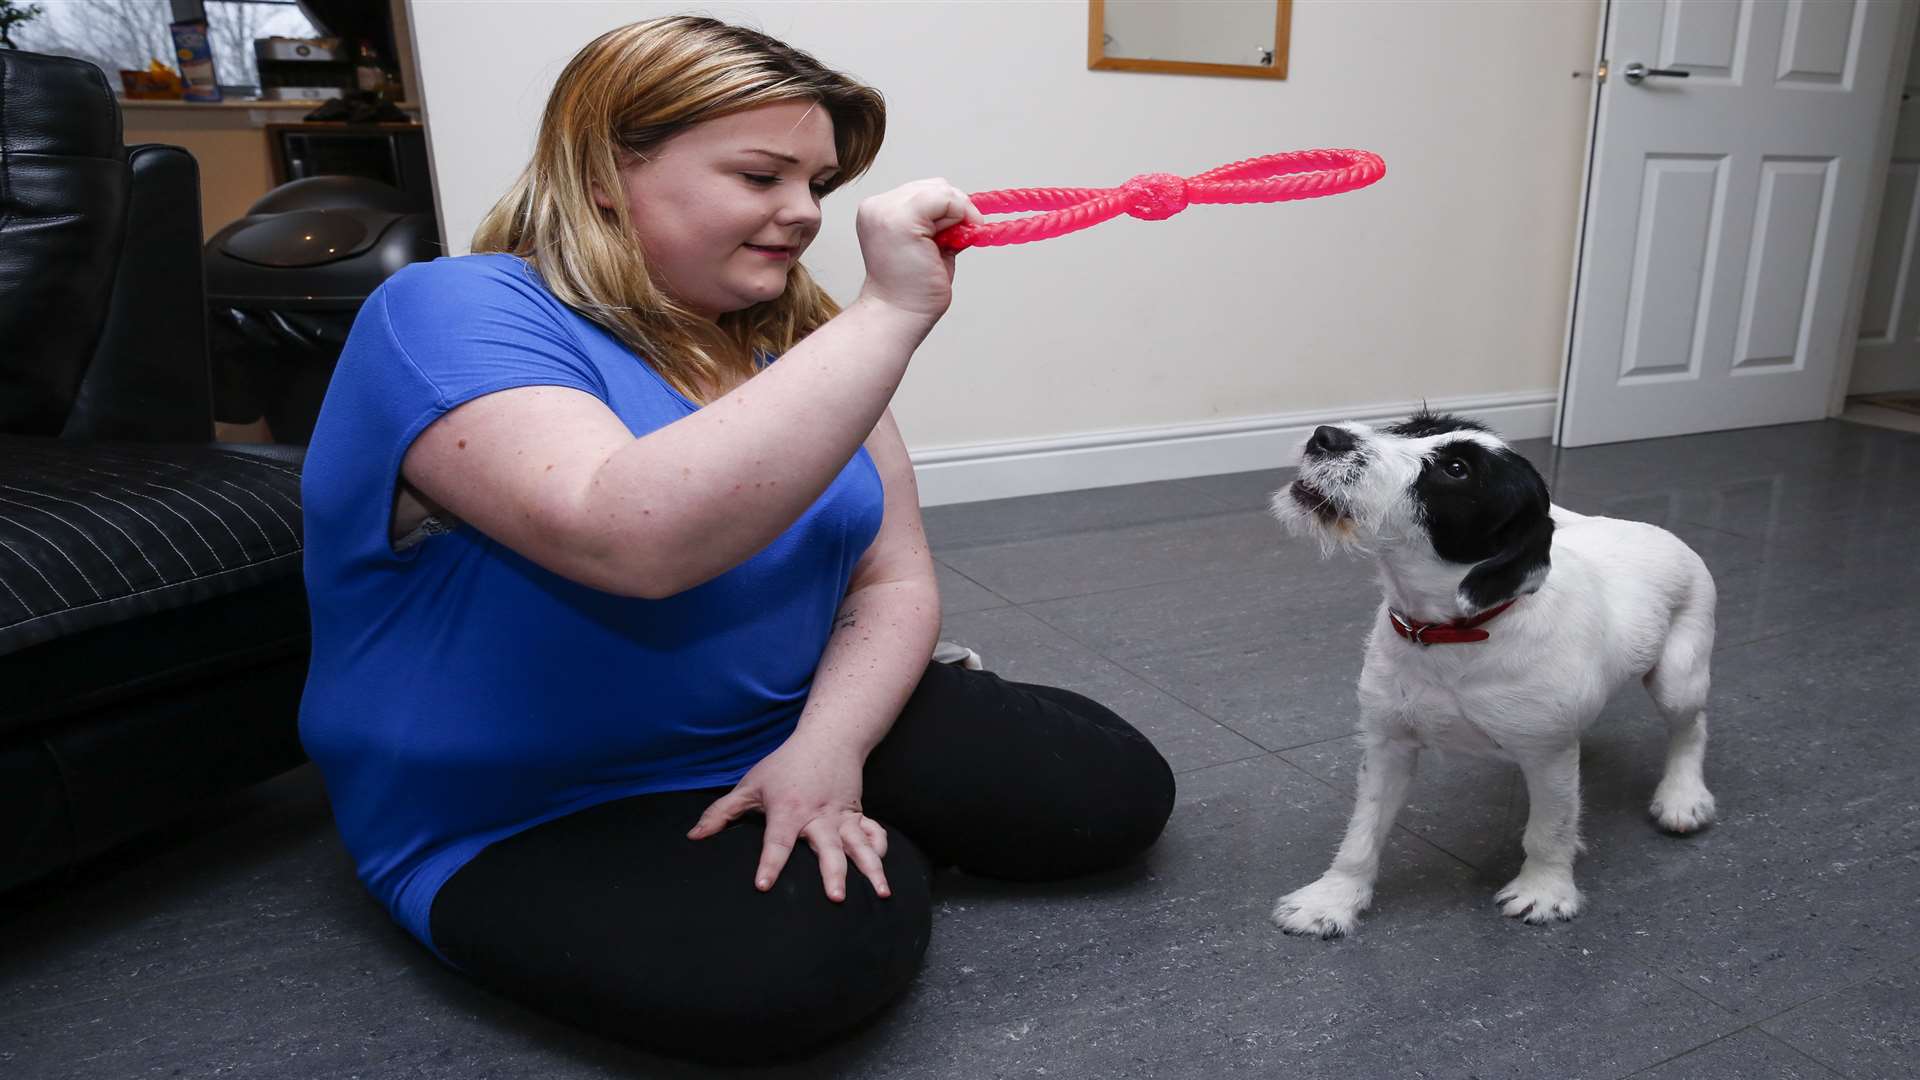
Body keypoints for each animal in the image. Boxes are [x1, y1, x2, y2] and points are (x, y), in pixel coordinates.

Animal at [1267, 411, 1720, 933]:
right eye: (1413, 428)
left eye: (1457, 470)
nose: (1325, 437)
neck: (1451, 635)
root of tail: (1655, 530)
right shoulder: (1388, 743)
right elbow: (1363, 832)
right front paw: (1333, 899)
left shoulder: (1548, 753)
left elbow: (1549, 830)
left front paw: (1545, 891)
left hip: (1678, 677)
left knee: (1691, 728)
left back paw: (1683, 796)